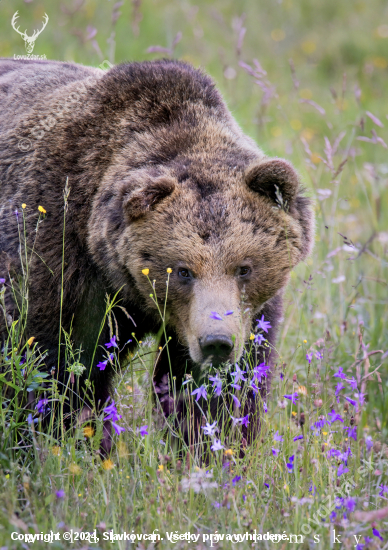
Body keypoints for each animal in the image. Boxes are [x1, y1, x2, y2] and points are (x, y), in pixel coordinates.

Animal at [0, 57, 316, 452]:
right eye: (183, 270)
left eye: (244, 267)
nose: (216, 342)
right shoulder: (57, 257)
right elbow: (53, 365)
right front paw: (52, 441)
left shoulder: (249, 316)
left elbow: (220, 389)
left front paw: (211, 445)